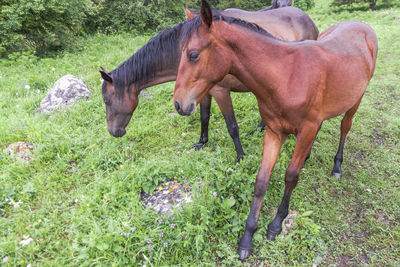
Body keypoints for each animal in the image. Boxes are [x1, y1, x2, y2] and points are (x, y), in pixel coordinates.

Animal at [100, 5, 318, 161]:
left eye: (107, 101)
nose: (113, 132)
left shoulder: (221, 92)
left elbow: (232, 126)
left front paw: (241, 156)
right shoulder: (201, 93)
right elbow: (204, 118)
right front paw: (202, 142)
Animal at [173, 0, 376, 260]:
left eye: (193, 55)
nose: (179, 104)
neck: (286, 76)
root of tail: (363, 26)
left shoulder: (306, 128)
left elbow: (291, 176)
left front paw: (276, 224)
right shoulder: (274, 132)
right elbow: (261, 181)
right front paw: (248, 237)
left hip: (355, 100)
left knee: (344, 128)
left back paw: (337, 166)